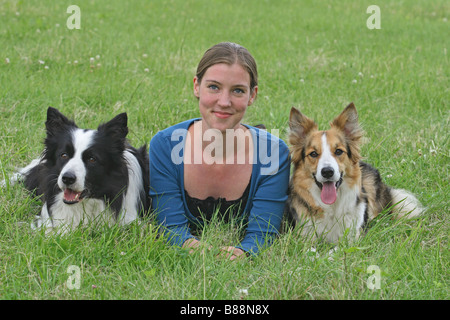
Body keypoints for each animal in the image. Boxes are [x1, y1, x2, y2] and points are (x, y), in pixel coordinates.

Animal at [286, 102, 424, 242]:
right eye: (313, 154)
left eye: (338, 151)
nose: (327, 172)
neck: (332, 206)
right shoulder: (305, 234)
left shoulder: (354, 235)